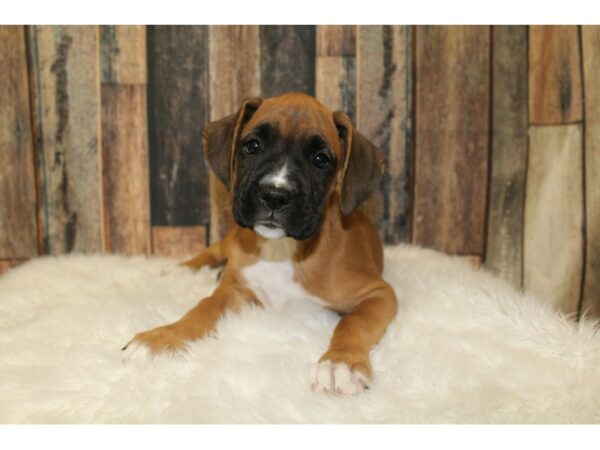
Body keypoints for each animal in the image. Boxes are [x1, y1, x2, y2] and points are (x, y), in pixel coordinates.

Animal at [120, 92, 398, 394]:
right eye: (252, 146)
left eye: (320, 159)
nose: (275, 195)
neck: (282, 250)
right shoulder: (233, 291)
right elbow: (202, 309)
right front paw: (161, 338)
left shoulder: (378, 293)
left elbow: (354, 323)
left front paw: (339, 362)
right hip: (232, 241)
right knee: (214, 251)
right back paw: (182, 269)